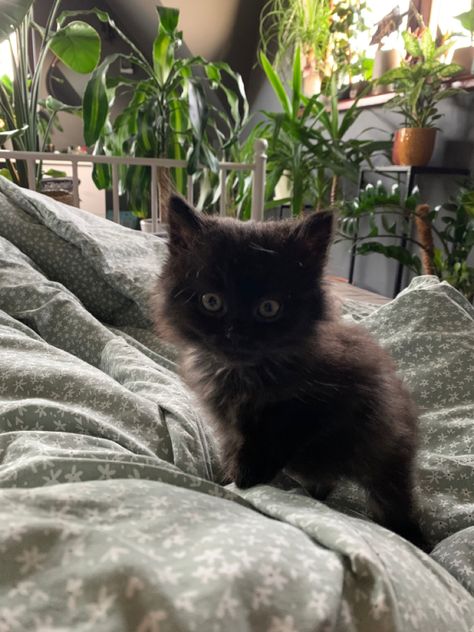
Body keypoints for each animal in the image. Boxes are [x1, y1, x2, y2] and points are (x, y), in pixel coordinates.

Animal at [154, 196, 424, 548]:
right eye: (211, 301)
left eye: (269, 308)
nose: (237, 335)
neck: (245, 373)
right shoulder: (225, 420)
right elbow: (233, 444)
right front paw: (227, 474)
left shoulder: (332, 398)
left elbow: (281, 428)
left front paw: (246, 476)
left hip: (384, 448)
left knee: (392, 498)